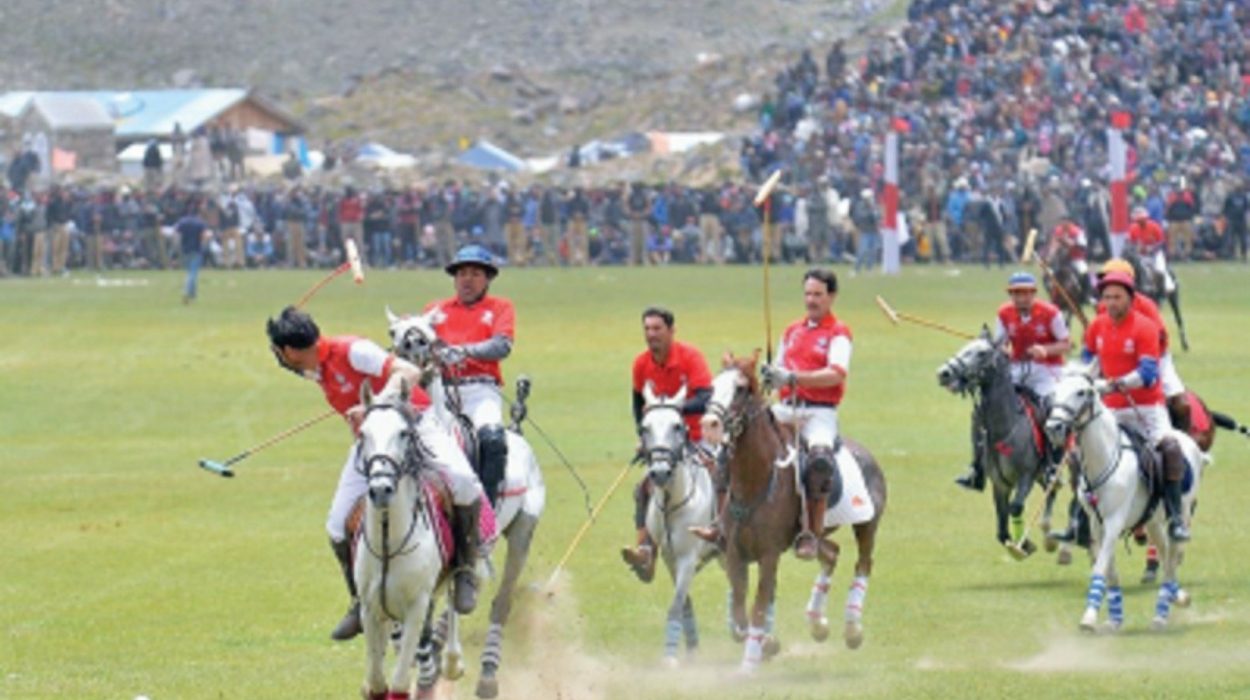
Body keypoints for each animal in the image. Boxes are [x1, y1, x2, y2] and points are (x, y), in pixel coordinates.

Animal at [355, 382, 447, 700]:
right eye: (363, 433)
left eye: (403, 433)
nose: (381, 489)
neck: (388, 541)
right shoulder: (369, 608)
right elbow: (376, 682)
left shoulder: (416, 607)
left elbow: (398, 684)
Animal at [387, 308, 545, 695]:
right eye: (394, 331)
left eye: (429, 332)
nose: (411, 346)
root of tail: (517, 435)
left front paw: (440, 663)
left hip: (521, 531)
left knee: (500, 600)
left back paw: (485, 673)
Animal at [640, 380, 720, 665]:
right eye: (645, 427)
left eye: (677, 425)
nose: (660, 472)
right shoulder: (669, 557)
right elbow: (684, 602)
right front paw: (692, 649)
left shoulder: (687, 557)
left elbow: (675, 605)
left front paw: (669, 658)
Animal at [705, 352, 890, 670]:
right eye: (714, 384)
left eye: (740, 389)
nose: (709, 424)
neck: (755, 480)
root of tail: (863, 451)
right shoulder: (733, 551)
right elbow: (740, 614)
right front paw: (768, 644)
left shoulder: (768, 554)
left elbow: (757, 608)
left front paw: (749, 666)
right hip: (813, 534)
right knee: (830, 552)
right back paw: (818, 623)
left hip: (868, 522)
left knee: (863, 563)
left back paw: (852, 629)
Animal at [1045, 370, 1210, 632]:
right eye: (1055, 391)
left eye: (1081, 392)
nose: (1053, 427)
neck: (1103, 457)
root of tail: (1193, 445)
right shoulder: (1097, 523)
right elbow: (1110, 569)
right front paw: (1114, 618)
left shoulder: (1114, 520)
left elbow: (1101, 566)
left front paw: (1089, 617)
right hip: (1153, 520)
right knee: (1165, 553)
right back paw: (1178, 597)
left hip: (1181, 513)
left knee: (1173, 554)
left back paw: (1161, 614)